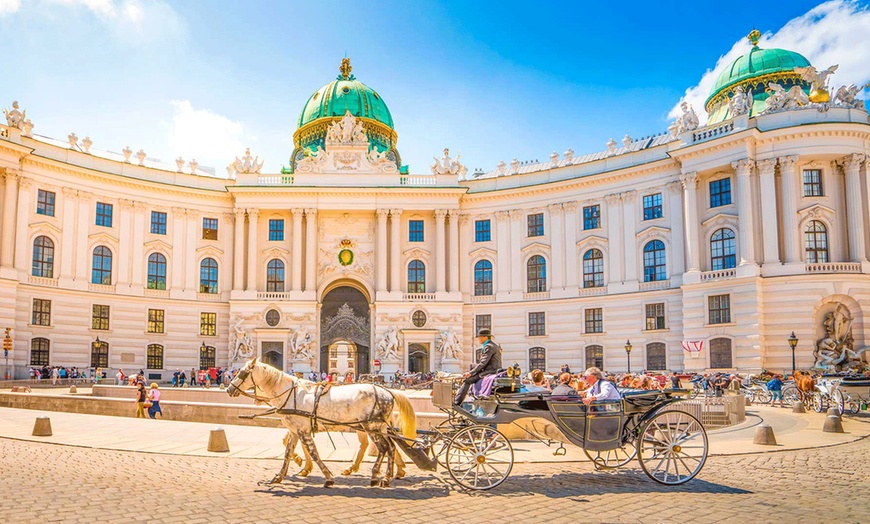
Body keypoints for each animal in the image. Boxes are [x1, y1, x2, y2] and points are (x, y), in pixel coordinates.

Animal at [228, 358, 418, 490]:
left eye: (242, 373)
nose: (229, 389)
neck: (291, 394)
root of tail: (388, 391)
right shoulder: (295, 431)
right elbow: (287, 453)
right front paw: (279, 476)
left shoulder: (303, 431)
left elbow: (314, 453)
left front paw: (328, 477)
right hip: (378, 428)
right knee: (390, 447)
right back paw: (385, 476)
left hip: (371, 427)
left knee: (384, 448)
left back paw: (379, 477)